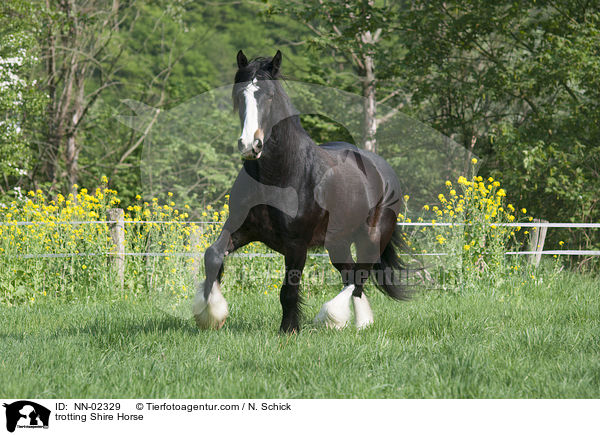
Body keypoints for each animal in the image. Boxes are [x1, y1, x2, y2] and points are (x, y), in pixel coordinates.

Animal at [192, 50, 408, 334]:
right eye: (239, 94)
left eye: (270, 95)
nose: (250, 145)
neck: (279, 176)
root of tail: (383, 169)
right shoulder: (241, 229)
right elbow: (213, 255)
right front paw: (212, 314)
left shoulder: (297, 244)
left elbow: (288, 291)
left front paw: (289, 330)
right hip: (337, 242)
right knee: (350, 273)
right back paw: (360, 323)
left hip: (372, 236)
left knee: (359, 275)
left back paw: (335, 317)